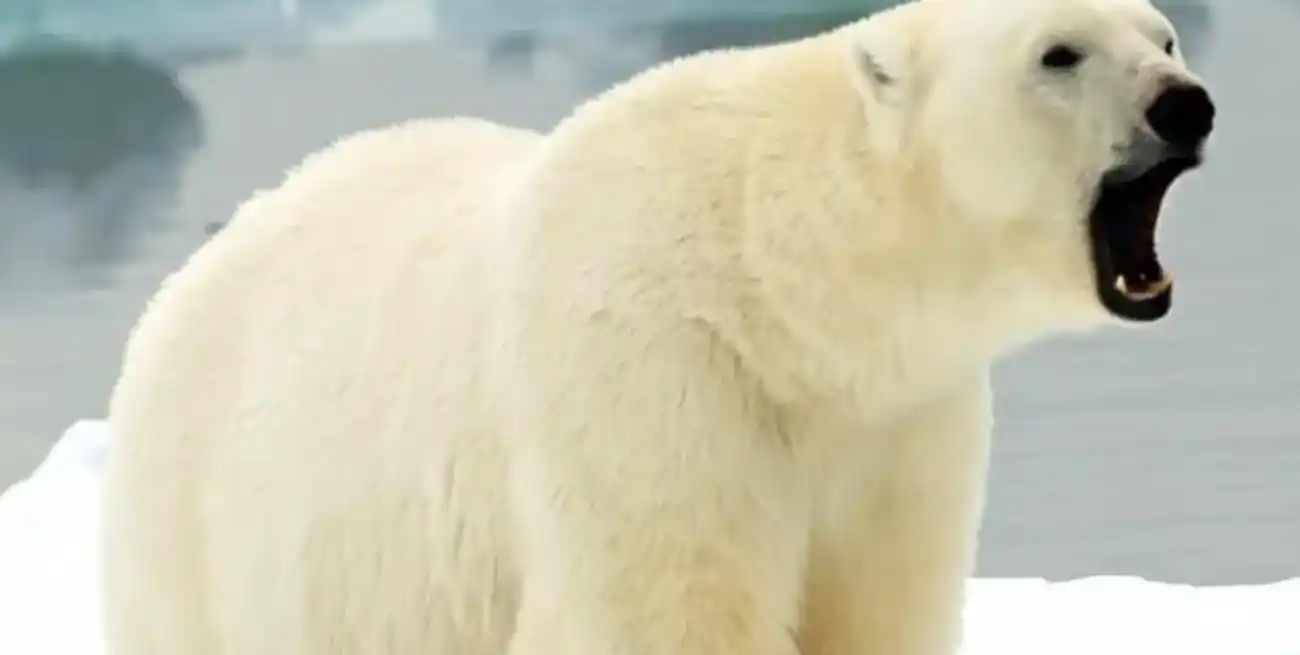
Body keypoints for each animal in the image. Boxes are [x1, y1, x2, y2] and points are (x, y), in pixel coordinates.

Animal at [100, 0, 1215, 653]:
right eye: (1058, 53)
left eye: (1161, 34)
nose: (1187, 104)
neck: (780, 291)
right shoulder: (650, 381)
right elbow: (666, 609)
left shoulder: (898, 426)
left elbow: (877, 603)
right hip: (199, 534)